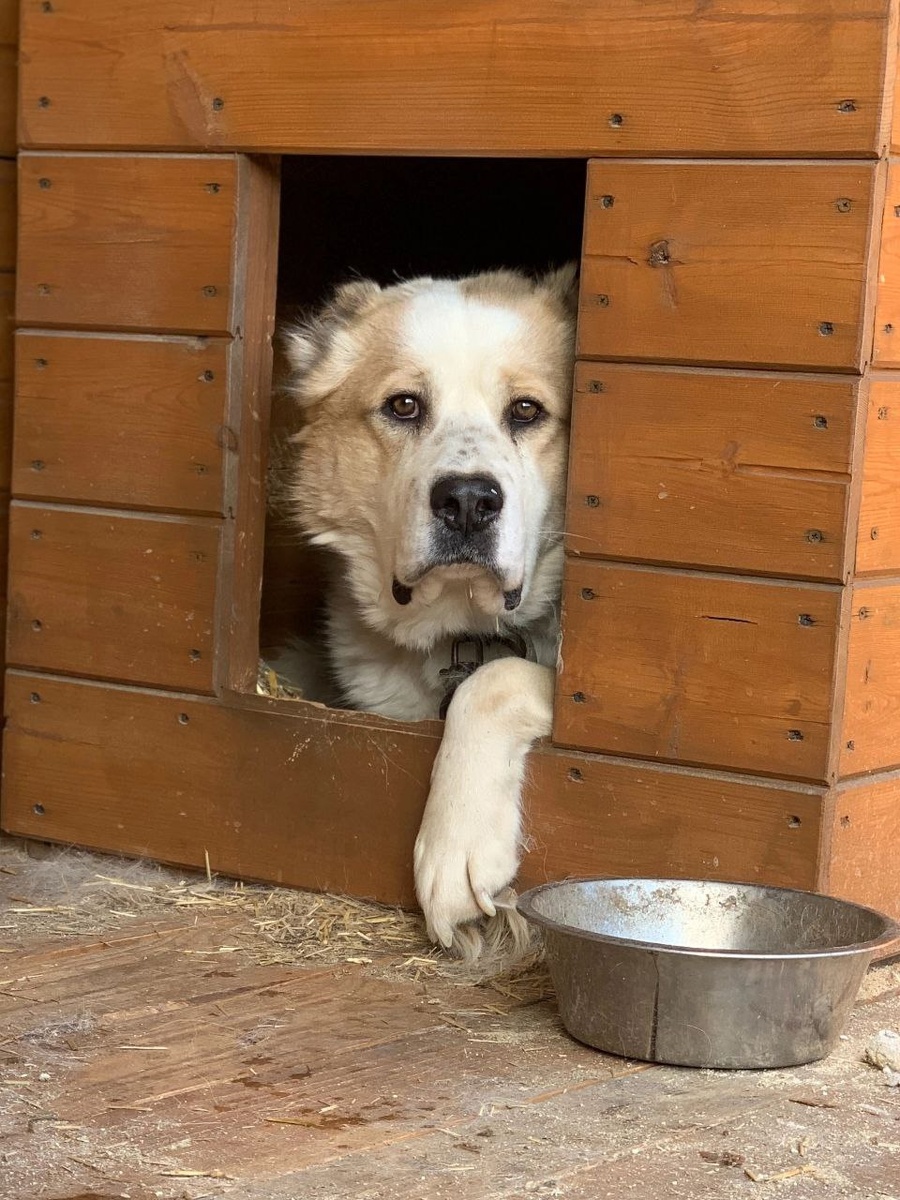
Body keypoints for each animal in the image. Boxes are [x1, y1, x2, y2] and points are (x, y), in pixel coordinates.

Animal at [281, 266, 577, 955]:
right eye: (404, 406)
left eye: (527, 411)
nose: (468, 501)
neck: (461, 629)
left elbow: (493, 683)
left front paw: (454, 847)